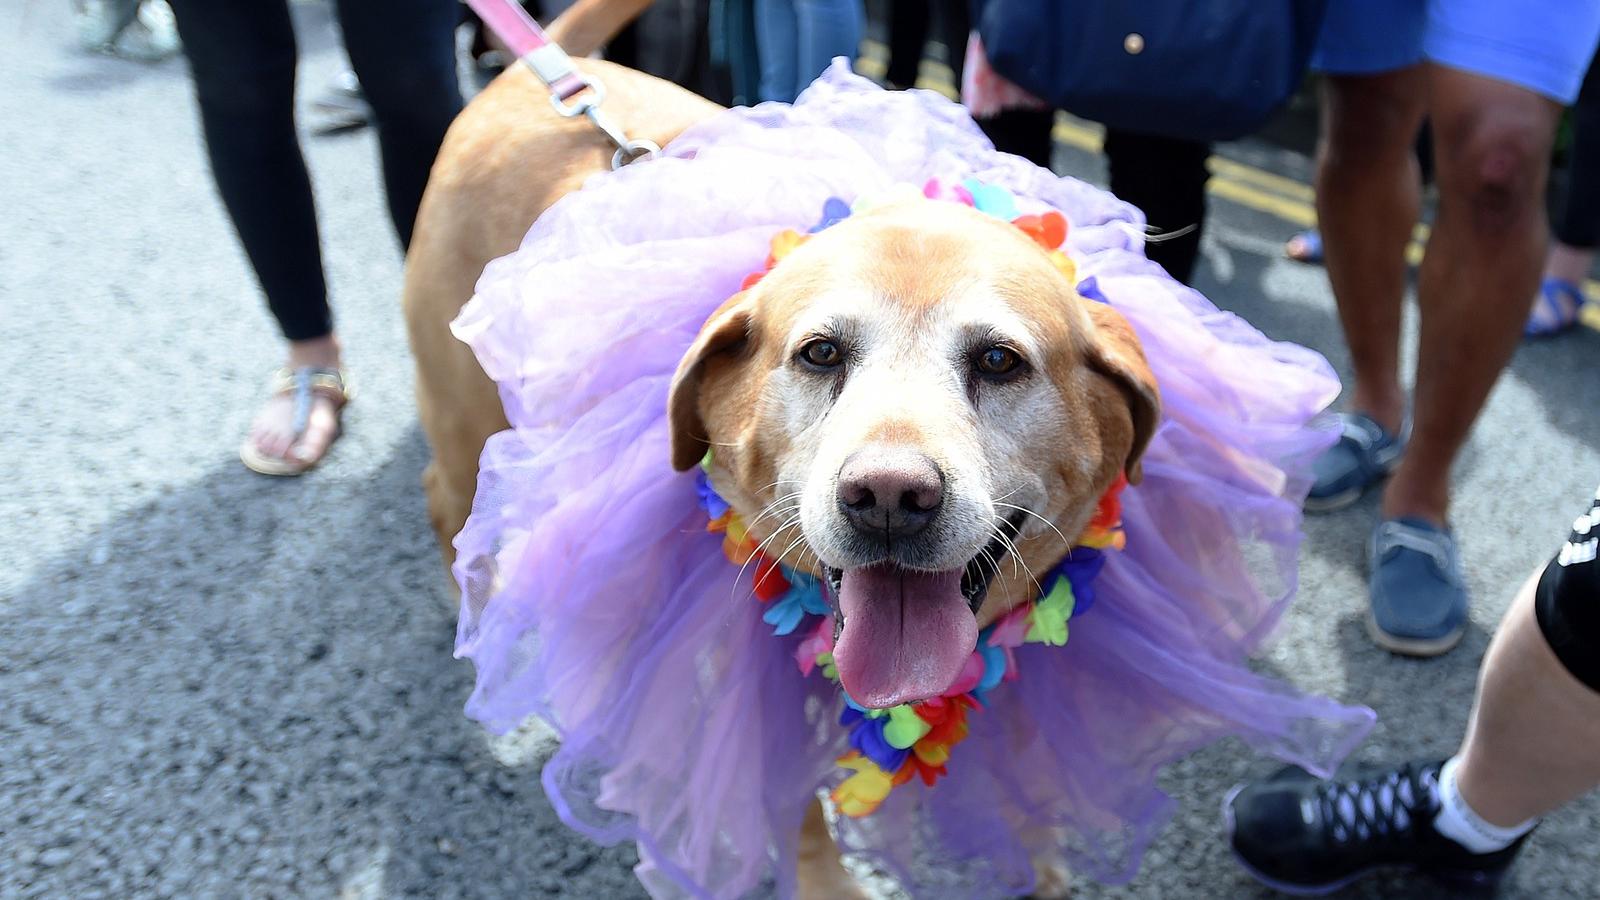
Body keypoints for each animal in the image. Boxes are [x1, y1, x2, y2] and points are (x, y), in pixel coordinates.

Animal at [398, 57, 1152, 896]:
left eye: (998, 360)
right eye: (821, 353)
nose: (889, 498)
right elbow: (792, 814)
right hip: (463, 418)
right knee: (444, 499)